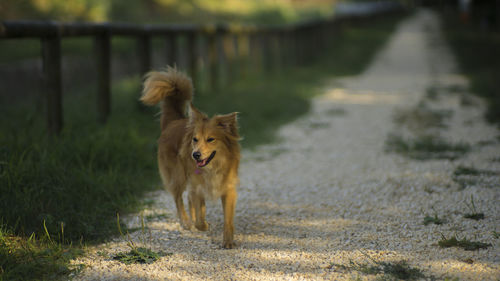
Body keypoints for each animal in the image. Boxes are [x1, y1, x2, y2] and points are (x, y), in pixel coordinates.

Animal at [140, 67, 241, 247]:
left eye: (210, 139)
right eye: (195, 139)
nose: (195, 155)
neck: (212, 167)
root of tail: (173, 122)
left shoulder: (228, 189)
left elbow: (227, 220)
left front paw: (228, 241)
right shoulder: (197, 187)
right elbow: (200, 217)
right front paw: (202, 225)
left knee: (186, 198)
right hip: (177, 175)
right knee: (178, 198)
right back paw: (186, 221)